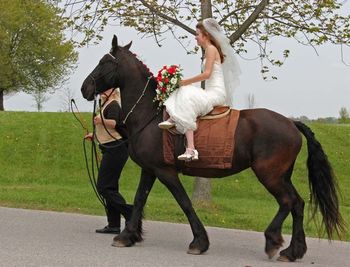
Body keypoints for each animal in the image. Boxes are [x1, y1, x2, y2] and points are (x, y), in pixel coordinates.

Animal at [80, 34, 344, 262]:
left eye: (104, 62)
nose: (84, 88)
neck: (149, 115)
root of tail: (291, 122)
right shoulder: (150, 170)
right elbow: (139, 200)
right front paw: (128, 235)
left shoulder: (165, 171)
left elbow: (184, 202)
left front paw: (199, 241)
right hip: (281, 175)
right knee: (298, 204)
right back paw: (293, 251)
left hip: (269, 174)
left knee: (288, 202)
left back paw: (273, 240)